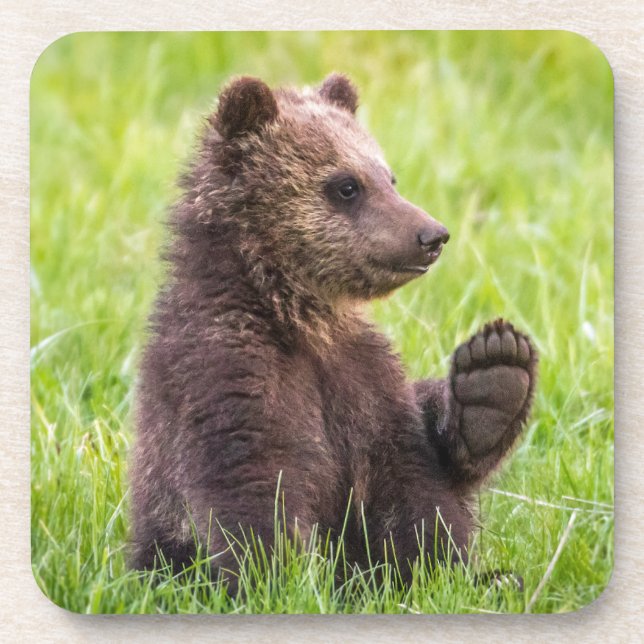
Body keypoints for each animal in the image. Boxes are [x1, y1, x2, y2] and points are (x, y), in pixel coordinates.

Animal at [130, 73, 538, 591]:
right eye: (346, 185)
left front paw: (494, 377)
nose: (432, 235)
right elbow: (254, 479)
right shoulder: (226, 366)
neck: (300, 317)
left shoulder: (364, 377)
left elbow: (413, 482)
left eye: (389, 177)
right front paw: (278, 575)